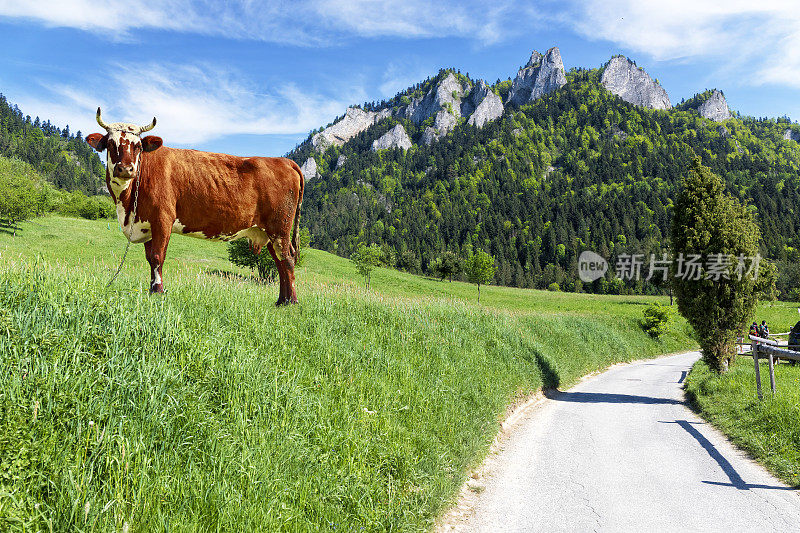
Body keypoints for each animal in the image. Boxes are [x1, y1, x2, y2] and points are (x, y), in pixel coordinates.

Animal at [84, 108, 304, 304]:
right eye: (111, 143)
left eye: (138, 146)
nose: (126, 169)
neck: (127, 207)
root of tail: (285, 161)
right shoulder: (146, 223)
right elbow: (149, 258)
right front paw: (151, 289)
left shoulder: (162, 219)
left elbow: (157, 256)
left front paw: (158, 292)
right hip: (269, 232)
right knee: (280, 262)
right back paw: (281, 301)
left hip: (280, 228)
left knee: (287, 260)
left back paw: (291, 302)